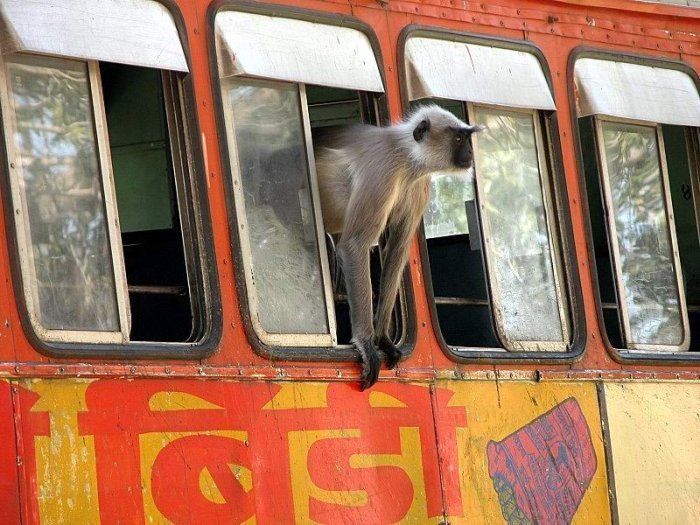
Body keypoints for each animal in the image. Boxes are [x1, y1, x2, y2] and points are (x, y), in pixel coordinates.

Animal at [314, 104, 484, 386]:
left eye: (467, 138)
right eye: (460, 138)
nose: (471, 153)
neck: (406, 156)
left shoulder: (418, 184)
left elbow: (396, 252)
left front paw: (382, 338)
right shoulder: (383, 169)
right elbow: (355, 245)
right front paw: (366, 343)